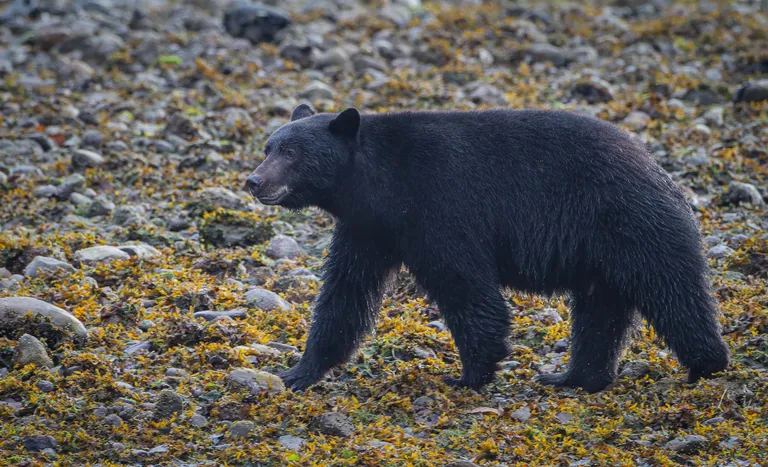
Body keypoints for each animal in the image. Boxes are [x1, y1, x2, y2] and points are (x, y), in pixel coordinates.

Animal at [245, 104, 730, 393]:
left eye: (291, 152)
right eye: (268, 147)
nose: (254, 180)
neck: (380, 183)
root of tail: (655, 165)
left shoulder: (440, 206)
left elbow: (464, 286)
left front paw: (470, 375)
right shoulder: (369, 228)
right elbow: (343, 295)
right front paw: (297, 372)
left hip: (628, 223)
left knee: (673, 292)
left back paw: (706, 365)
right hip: (602, 255)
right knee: (599, 314)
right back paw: (573, 377)